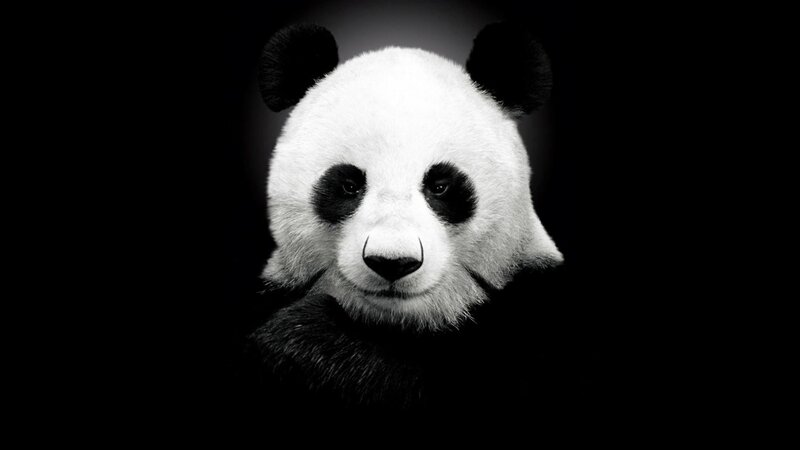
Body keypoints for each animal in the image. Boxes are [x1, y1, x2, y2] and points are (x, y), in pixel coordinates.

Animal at [242, 23, 567, 416]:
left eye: (440, 186)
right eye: (349, 185)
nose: (392, 262)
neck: (398, 324)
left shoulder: (533, 312)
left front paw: (303, 339)